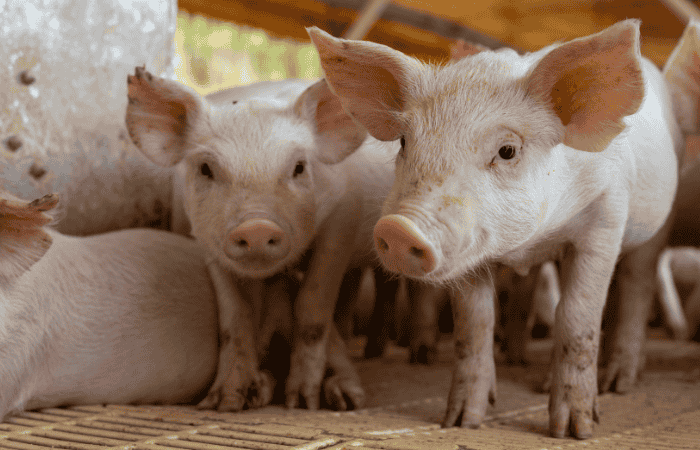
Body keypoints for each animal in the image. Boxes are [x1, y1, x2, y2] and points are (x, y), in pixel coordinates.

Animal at [125, 68, 393, 411]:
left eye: (299, 167)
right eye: (205, 168)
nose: (256, 227)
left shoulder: (343, 217)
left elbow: (313, 305)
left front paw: (302, 402)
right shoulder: (205, 240)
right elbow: (235, 316)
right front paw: (224, 402)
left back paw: (356, 383)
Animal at [308, 19, 682, 439]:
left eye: (507, 151)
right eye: (404, 141)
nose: (399, 229)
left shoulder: (607, 214)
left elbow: (577, 315)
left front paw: (573, 432)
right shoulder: (471, 254)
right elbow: (474, 323)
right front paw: (461, 422)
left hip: (657, 226)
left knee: (637, 286)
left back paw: (618, 383)